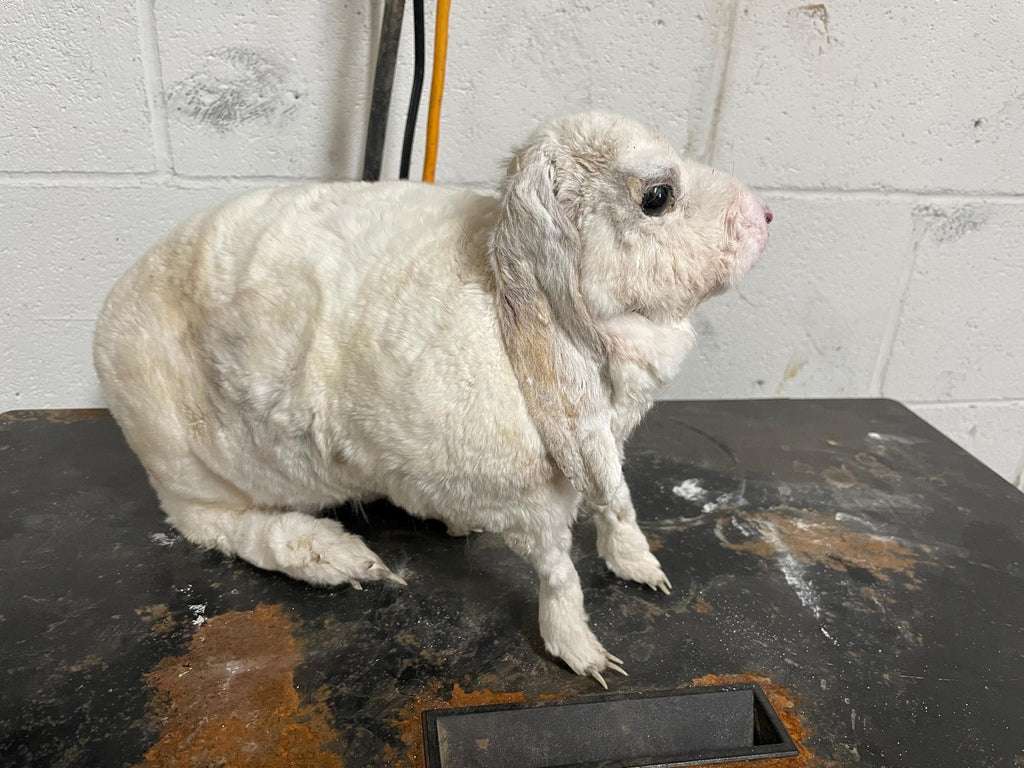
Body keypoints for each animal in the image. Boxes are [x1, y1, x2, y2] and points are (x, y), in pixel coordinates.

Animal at [93, 111, 771, 686]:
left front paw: (642, 572)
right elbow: (559, 573)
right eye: (657, 196)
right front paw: (584, 655)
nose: (765, 216)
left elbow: (614, 509)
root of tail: (107, 318)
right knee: (213, 525)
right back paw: (339, 559)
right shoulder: (530, 506)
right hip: (185, 470)